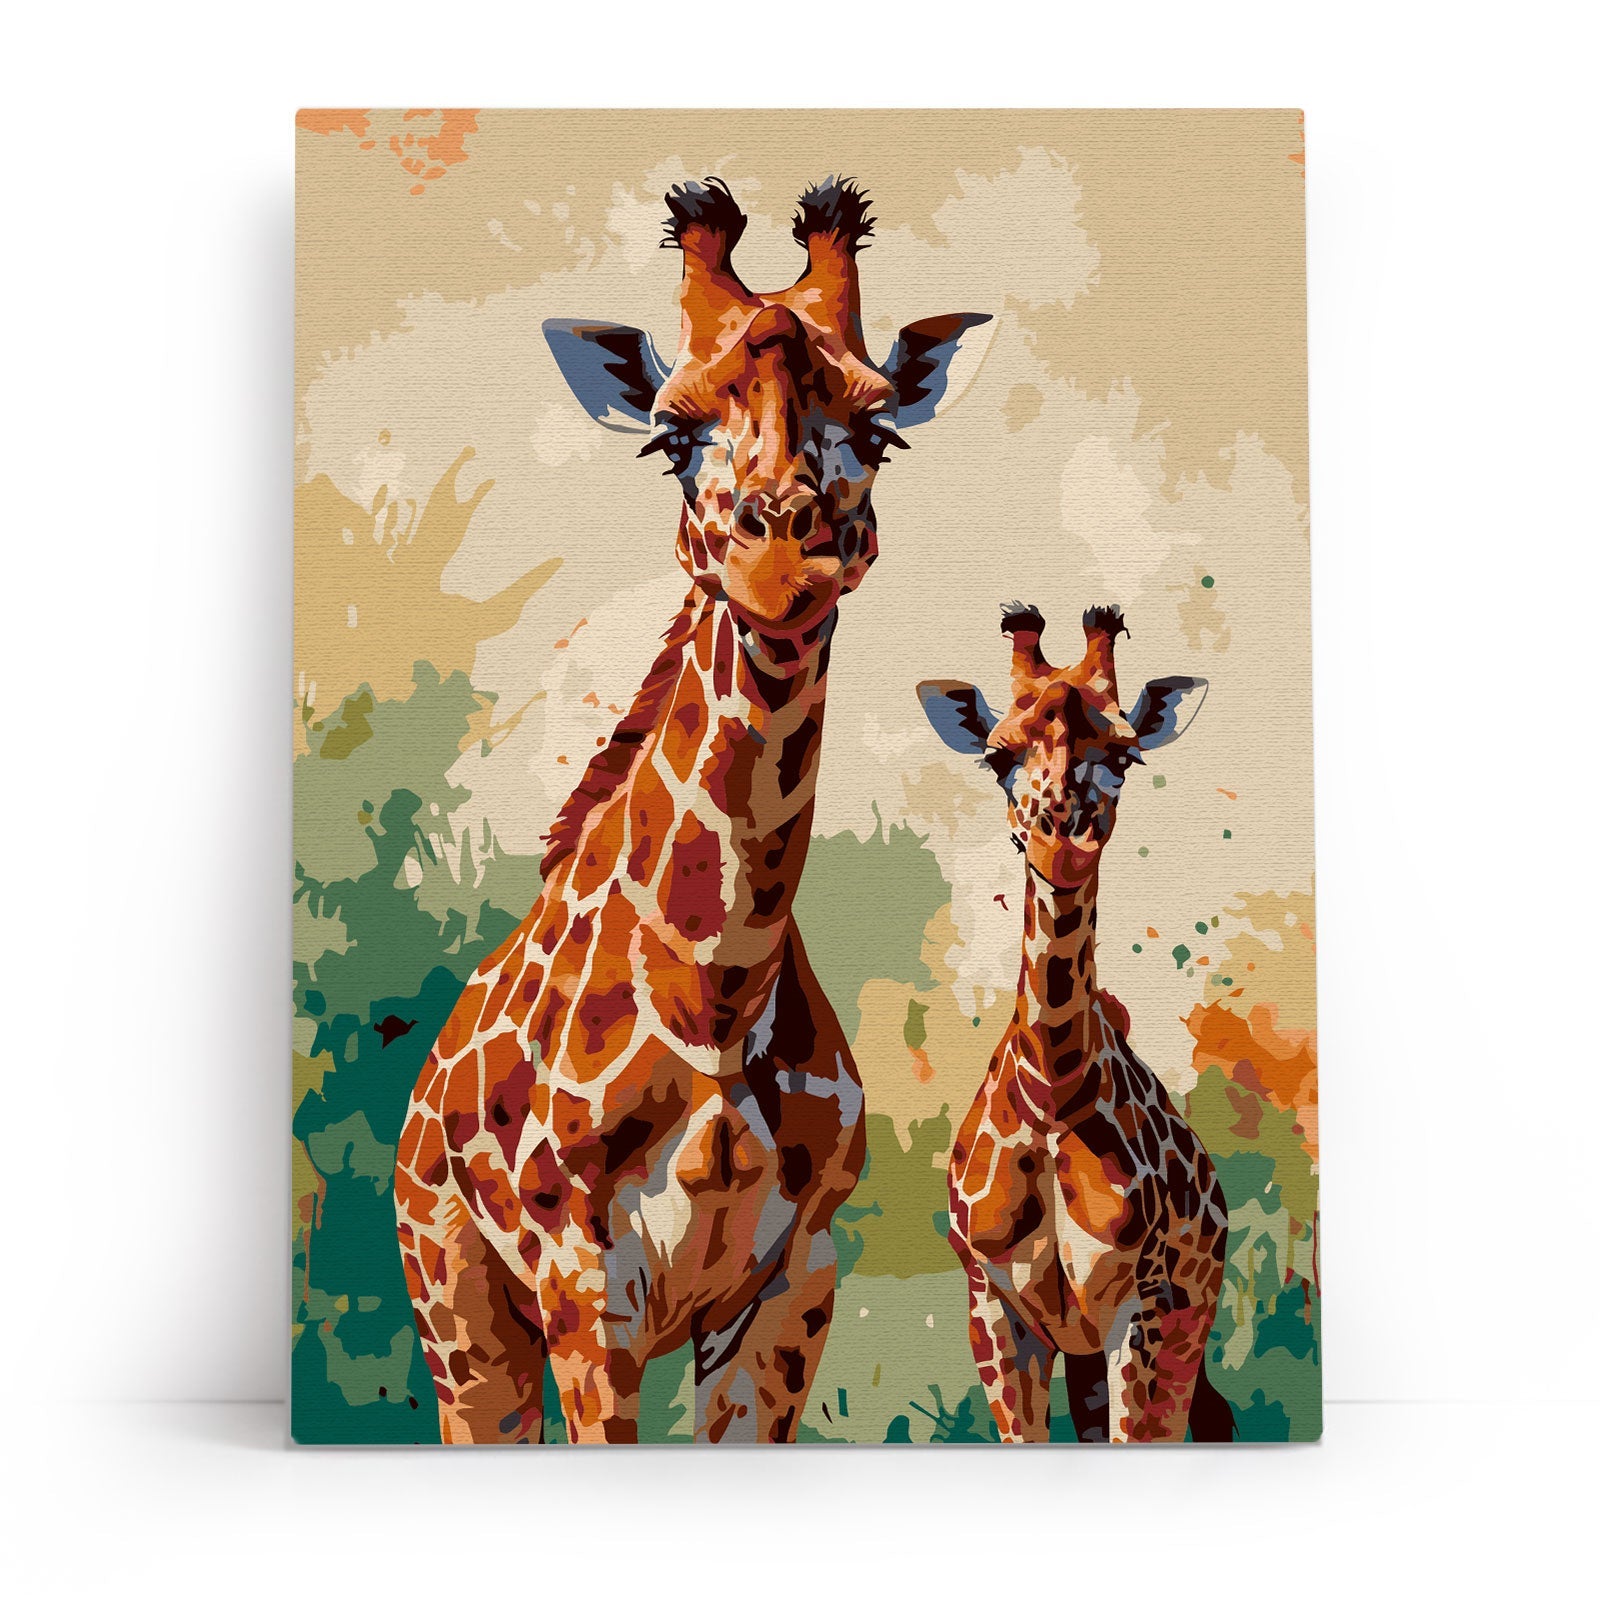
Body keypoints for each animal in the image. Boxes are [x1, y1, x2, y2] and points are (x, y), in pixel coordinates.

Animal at [394, 176, 992, 1444]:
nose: (781, 562)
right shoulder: (586, 1287)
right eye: (671, 438)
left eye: (878, 432)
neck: (718, 990)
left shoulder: (792, 1283)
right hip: (459, 1310)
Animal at [917, 602, 1234, 1443]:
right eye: (996, 758)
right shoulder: (994, 1305)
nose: (1062, 840)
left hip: (1188, 1313)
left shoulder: (1146, 1305)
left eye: (1126, 755)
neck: (1053, 1094)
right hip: (1084, 1347)